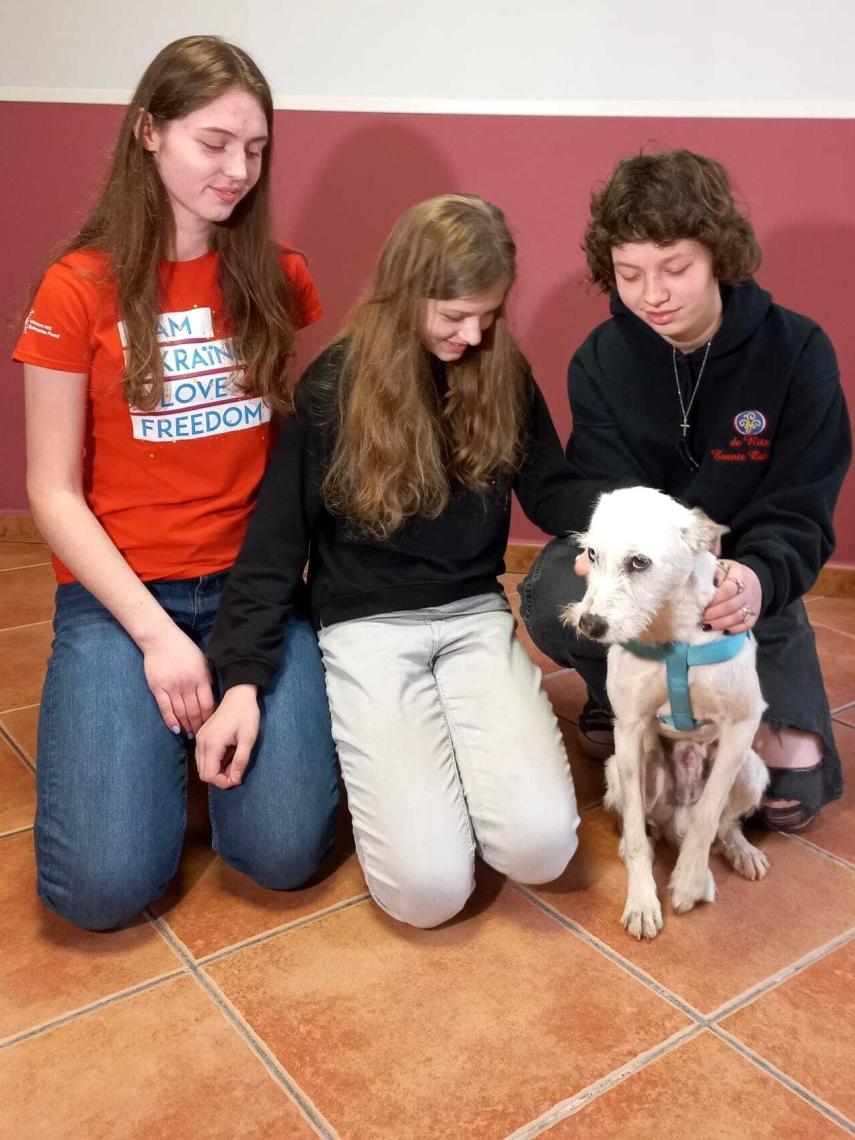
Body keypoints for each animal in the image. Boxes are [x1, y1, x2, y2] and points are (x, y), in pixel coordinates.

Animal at [570, 485, 770, 939]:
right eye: (591, 553)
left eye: (639, 562)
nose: (588, 625)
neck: (671, 634)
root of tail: (672, 820)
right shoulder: (628, 729)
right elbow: (637, 833)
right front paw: (643, 901)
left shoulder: (743, 723)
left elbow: (709, 815)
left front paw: (691, 881)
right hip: (623, 768)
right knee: (638, 822)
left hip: (752, 769)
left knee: (723, 823)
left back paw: (741, 850)